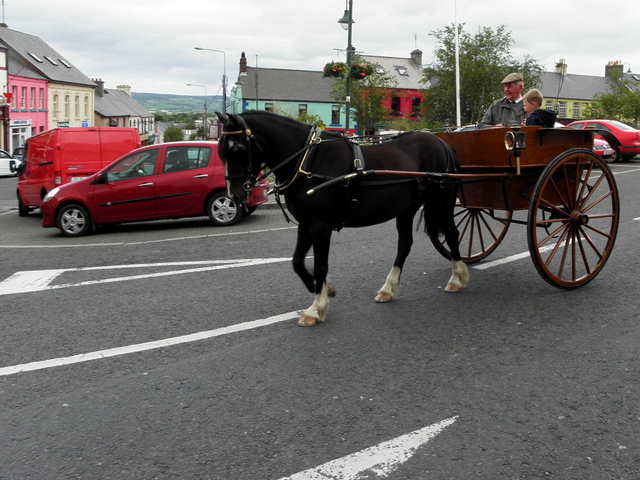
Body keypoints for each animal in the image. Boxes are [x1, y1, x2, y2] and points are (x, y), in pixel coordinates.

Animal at [218, 110, 468, 324]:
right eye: (221, 151)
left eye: (238, 150)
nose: (234, 195)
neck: (308, 159)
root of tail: (442, 142)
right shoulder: (306, 223)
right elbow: (297, 262)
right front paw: (321, 288)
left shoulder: (320, 225)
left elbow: (320, 265)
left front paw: (316, 308)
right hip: (407, 208)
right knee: (405, 244)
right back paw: (388, 289)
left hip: (442, 200)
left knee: (452, 233)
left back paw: (456, 278)